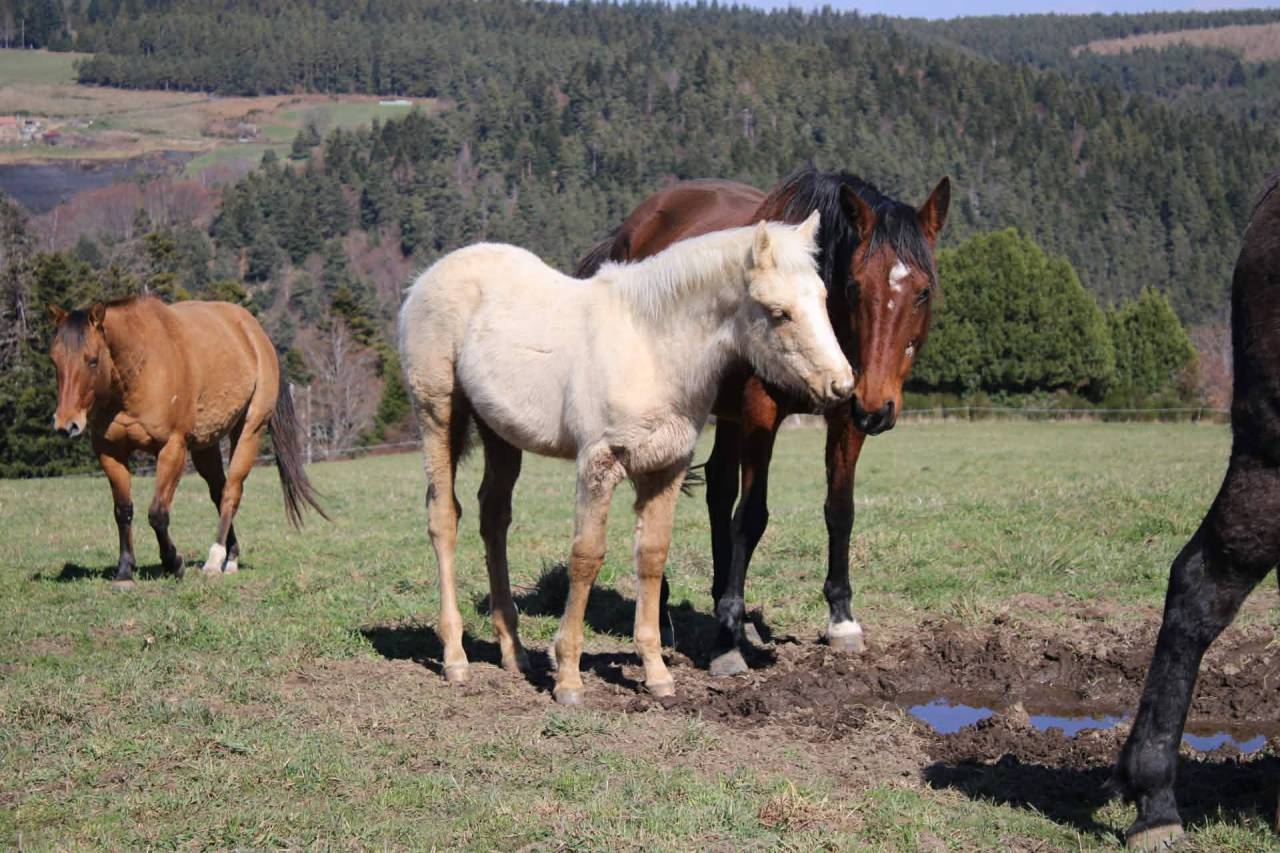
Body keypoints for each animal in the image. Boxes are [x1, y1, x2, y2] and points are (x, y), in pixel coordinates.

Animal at [47, 295, 326, 582]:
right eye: (54, 361)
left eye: (92, 360)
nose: (66, 424)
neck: (137, 371)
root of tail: (256, 333)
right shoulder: (110, 451)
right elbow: (123, 510)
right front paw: (125, 570)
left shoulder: (173, 448)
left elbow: (158, 513)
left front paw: (174, 563)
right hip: (207, 445)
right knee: (218, 491)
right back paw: (231, 556)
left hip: (250, 430)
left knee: (231, 493)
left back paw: (215, 559)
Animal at [398, 214, 854, 705]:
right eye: (778, 312)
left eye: (823, 299)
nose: (842, 386)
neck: (651, 348)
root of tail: (424, 279)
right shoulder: (598, 464)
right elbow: (586, 556)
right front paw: (568, 677)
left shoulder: (666, 467)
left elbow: (652, 556)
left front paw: (656, 674)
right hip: (438, 413)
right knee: (444, 517)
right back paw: (456, 659)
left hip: (498, 430)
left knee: (494, 518)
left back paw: (514, 652)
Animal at [576, 167, 950, 675]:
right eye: (854, 286)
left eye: (923, 291)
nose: (876, 406)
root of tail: (627, 232)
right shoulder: (761, 413)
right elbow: (751, 516)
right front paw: (728, 643)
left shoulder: (844, 417)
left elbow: (840, 510)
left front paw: (841, 620)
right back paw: (674, 610)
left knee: (717, 489)